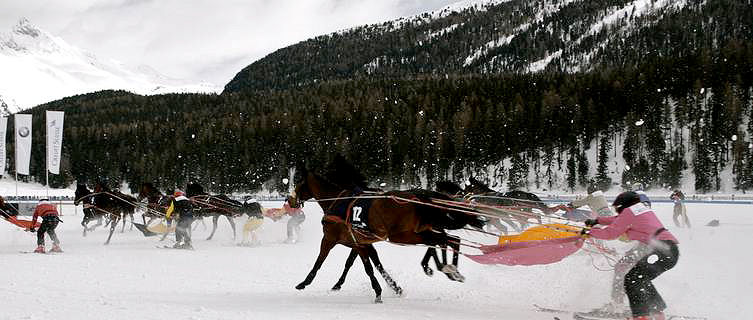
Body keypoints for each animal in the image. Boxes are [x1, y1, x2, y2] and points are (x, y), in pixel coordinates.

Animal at [288, 162, 482, 302]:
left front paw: (304, 282)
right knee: (449, 239)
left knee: (443, 240)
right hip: (416, 232)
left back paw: (445, 268)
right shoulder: (361, 243)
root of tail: (417, 198)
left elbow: (321, 262)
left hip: (403, 235)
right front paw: (393, 287)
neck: (337, 201)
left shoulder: (330, 239)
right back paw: (450, 270)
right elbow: (372, 265)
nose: (290, 200)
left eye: (298, 182)